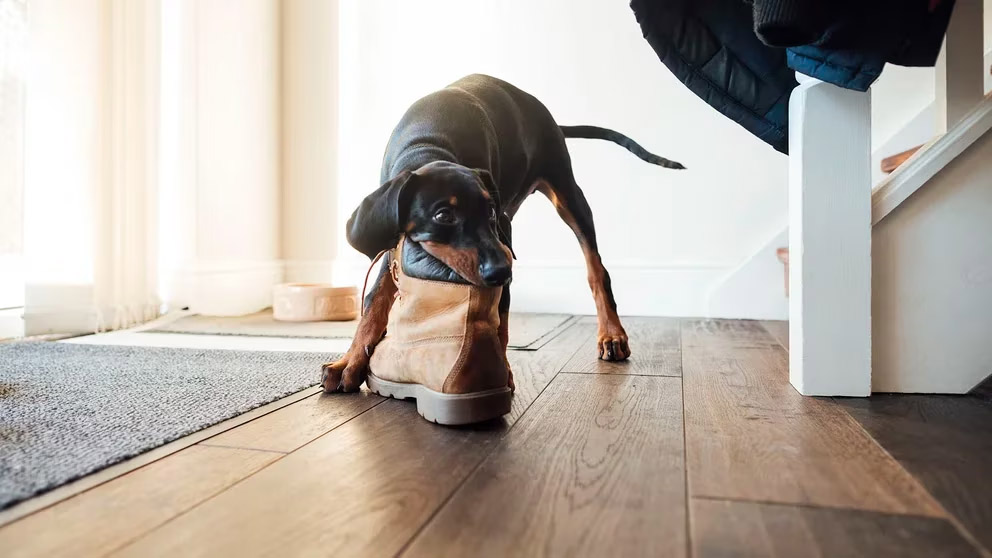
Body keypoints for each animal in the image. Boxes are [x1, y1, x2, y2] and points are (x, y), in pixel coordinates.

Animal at [324, 74, 680, 396]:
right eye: (444, 215)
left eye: (490, 212)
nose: (501, 271)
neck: (429, 146)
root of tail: (549, 117)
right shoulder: (394, 242)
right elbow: (373, 303)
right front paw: (349, 363)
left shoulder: (502, 234)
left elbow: (501, 319)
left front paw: (500, 372)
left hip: (567, 193)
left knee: (596, 269)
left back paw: (612, 334)